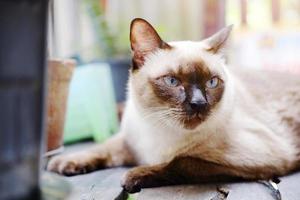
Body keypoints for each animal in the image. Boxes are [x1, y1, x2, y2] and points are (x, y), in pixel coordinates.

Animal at [47, 18, 300, 193]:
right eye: (172, 81)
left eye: (211, 82)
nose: (198, 103)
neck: (159, 130)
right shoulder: (130, 140)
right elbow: (103, 147)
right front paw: (63, 163)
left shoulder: (259, 156)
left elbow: (182, 162)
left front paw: (134, 175)